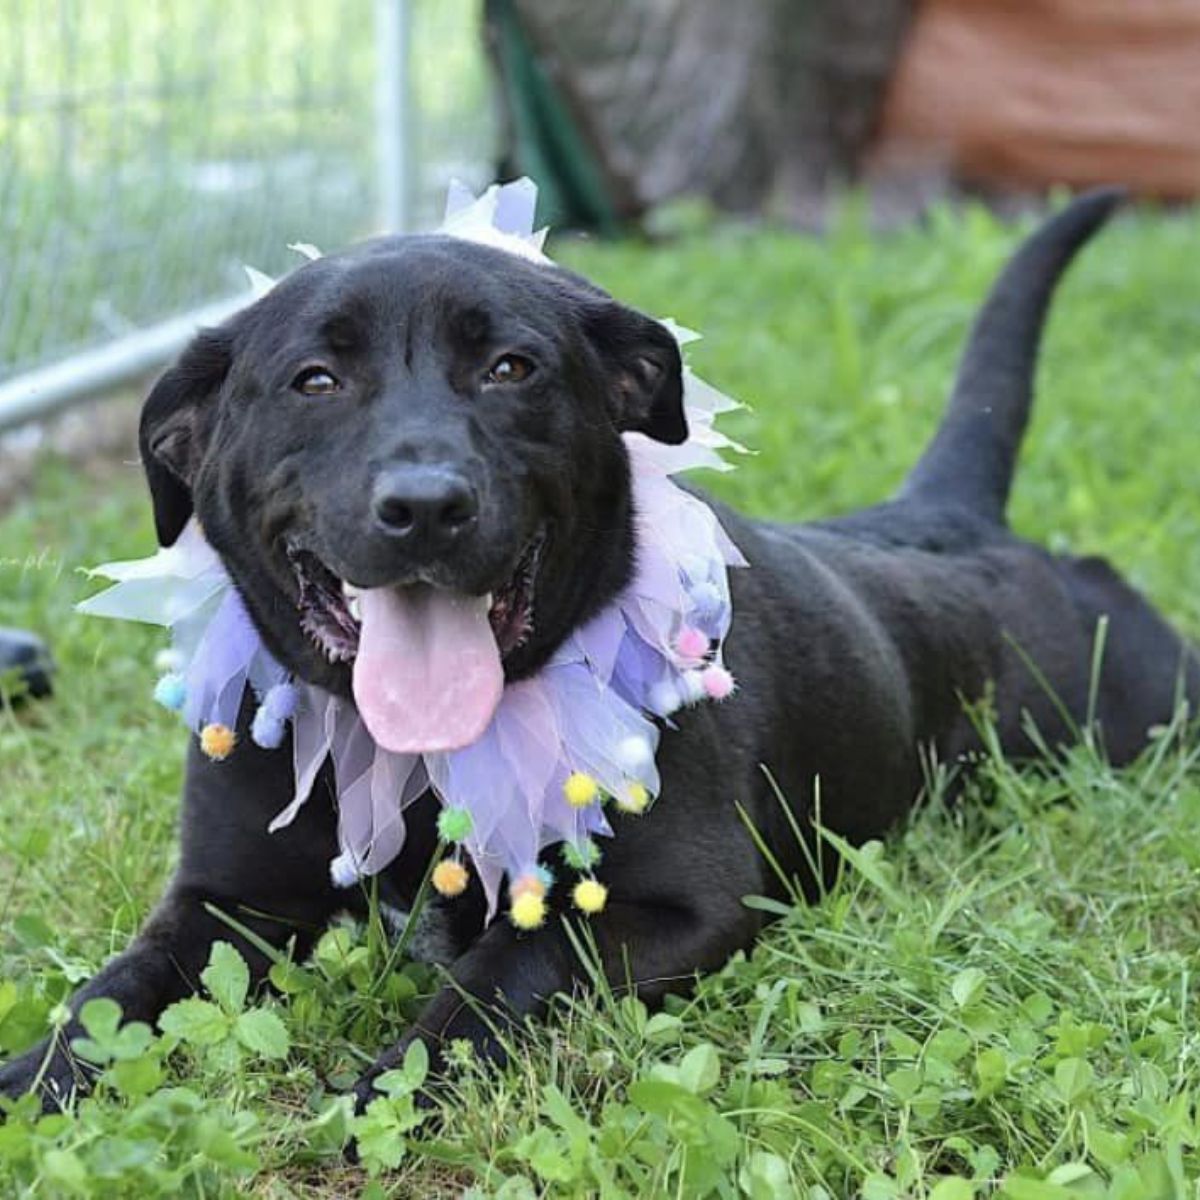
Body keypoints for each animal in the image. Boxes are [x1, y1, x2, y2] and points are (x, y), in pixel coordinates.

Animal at [4, 189, 1195, 1113]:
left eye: (511, 366)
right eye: (314, 381)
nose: (425, 507)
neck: (423, 761)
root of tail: (950, 516)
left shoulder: (677, 909)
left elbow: (501, 973)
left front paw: (386, 1091)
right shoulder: (225, 903)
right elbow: (112, 994)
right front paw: (35, 1077)